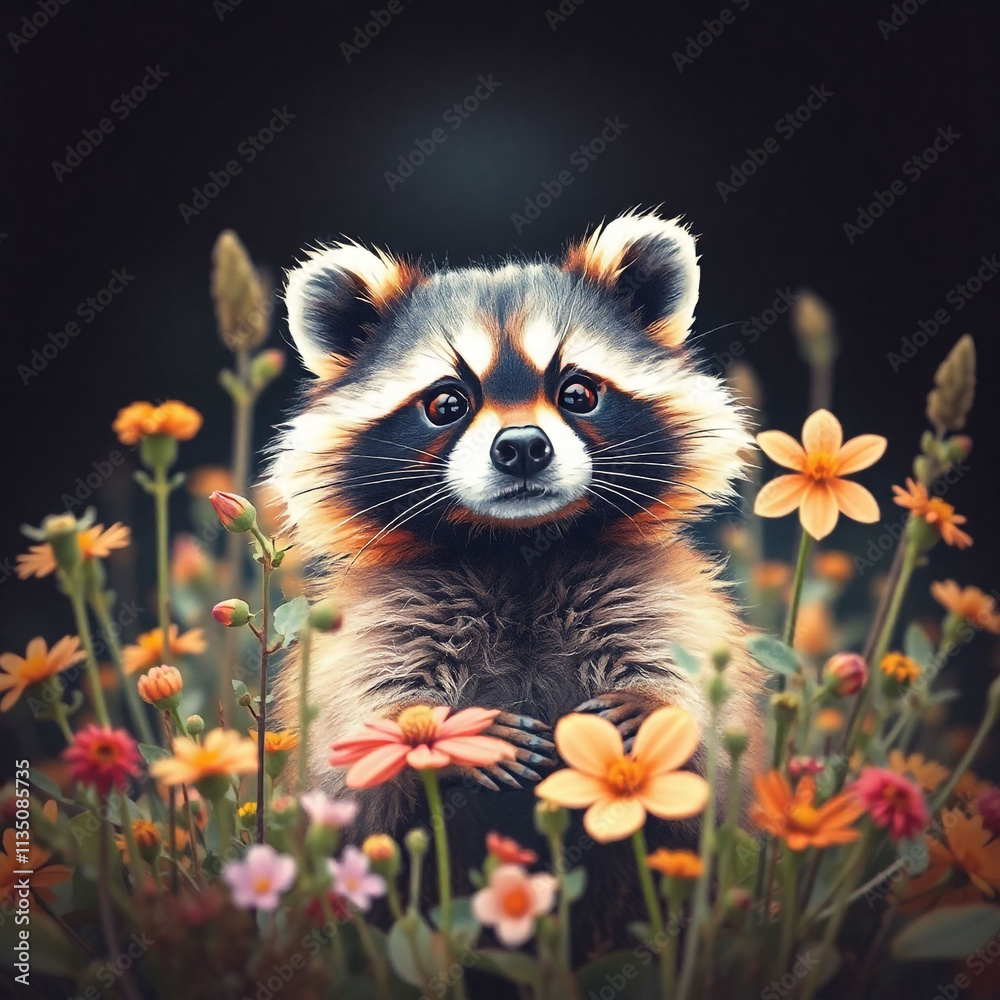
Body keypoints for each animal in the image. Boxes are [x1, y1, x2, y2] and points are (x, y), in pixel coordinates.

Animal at [269, 210, 765, 949]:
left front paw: (656, 711)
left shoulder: (645, 594)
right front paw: (446, 732)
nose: (524, 447)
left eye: (578, 393)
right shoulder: (387, 621)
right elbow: (359, 741)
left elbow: (707, 719)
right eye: (446, 403)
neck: (519, 546)